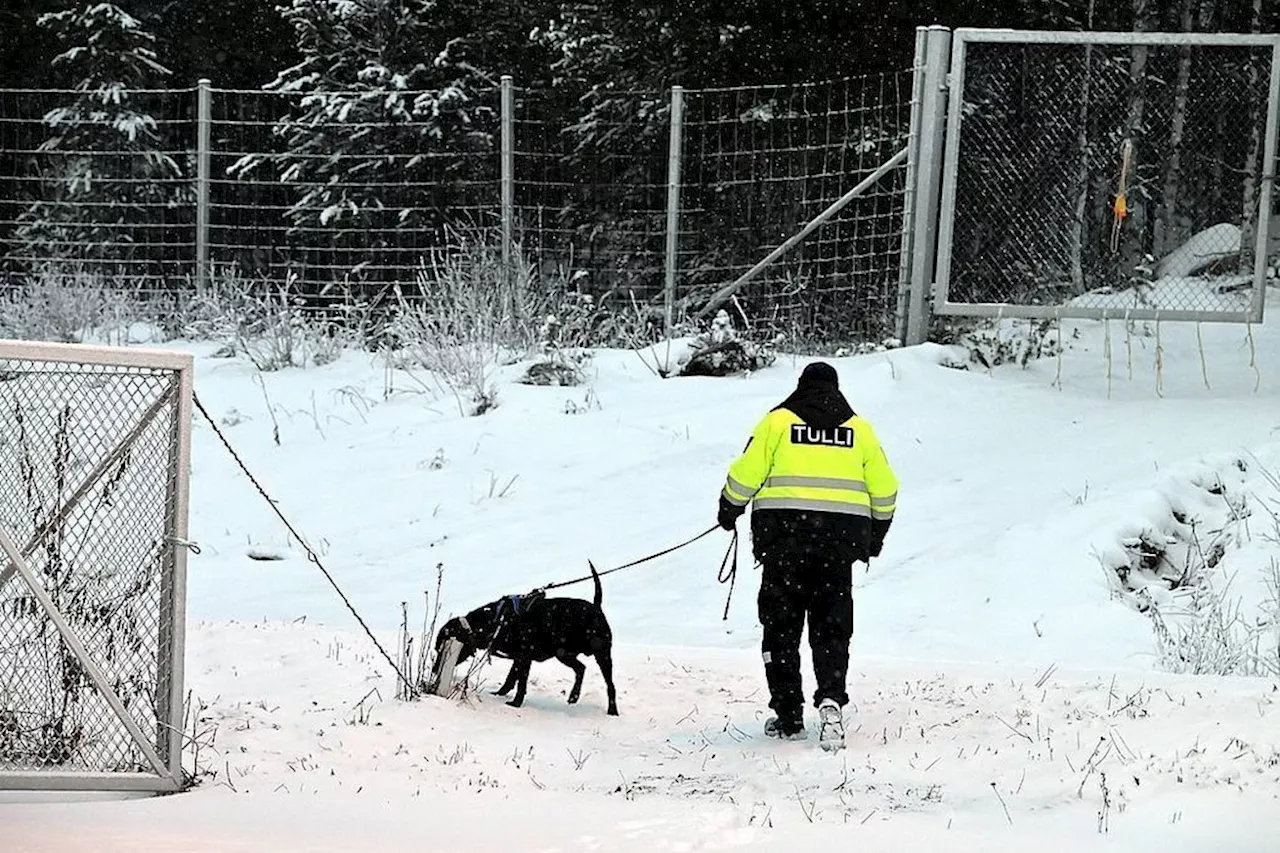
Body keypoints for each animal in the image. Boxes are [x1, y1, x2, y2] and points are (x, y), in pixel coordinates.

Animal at [435, 563, 619, 712]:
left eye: (441, 649)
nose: (435, 669)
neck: (495, 621)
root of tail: (596, 607)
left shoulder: (524, 656)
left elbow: (521, 682)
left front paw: (516, 703)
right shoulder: (518, 657)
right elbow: (511, 678)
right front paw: (499, 694)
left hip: (602, 655)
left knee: (610, 685)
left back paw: (612, 711)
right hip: (563, 653)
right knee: (581, 668)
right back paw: (574, 696)